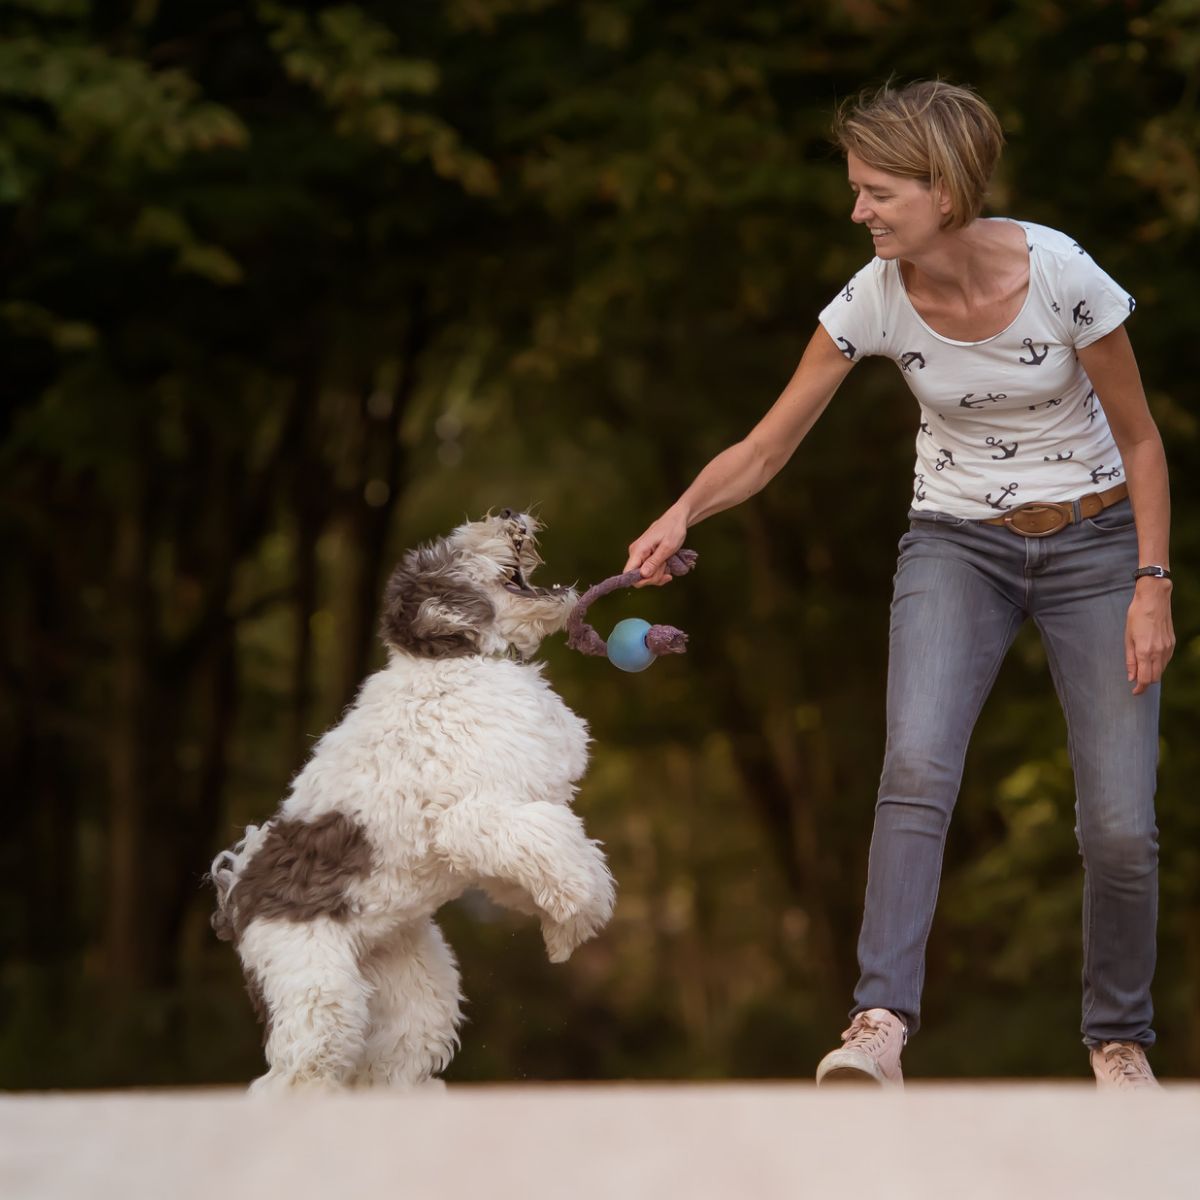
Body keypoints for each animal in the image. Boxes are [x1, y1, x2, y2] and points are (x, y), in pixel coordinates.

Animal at [206, 511, 614, 1094]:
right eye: (453, 550)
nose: (508, 515)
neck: (455, 660)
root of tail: (236, 897)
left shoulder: (500, 829)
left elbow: (551, 855)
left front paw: (560, 928)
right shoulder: (474, 817)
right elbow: (561, 852)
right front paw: (573, 928)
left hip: (410, 991)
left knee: (385, 1067)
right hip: (318, 994)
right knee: (290, 1081)